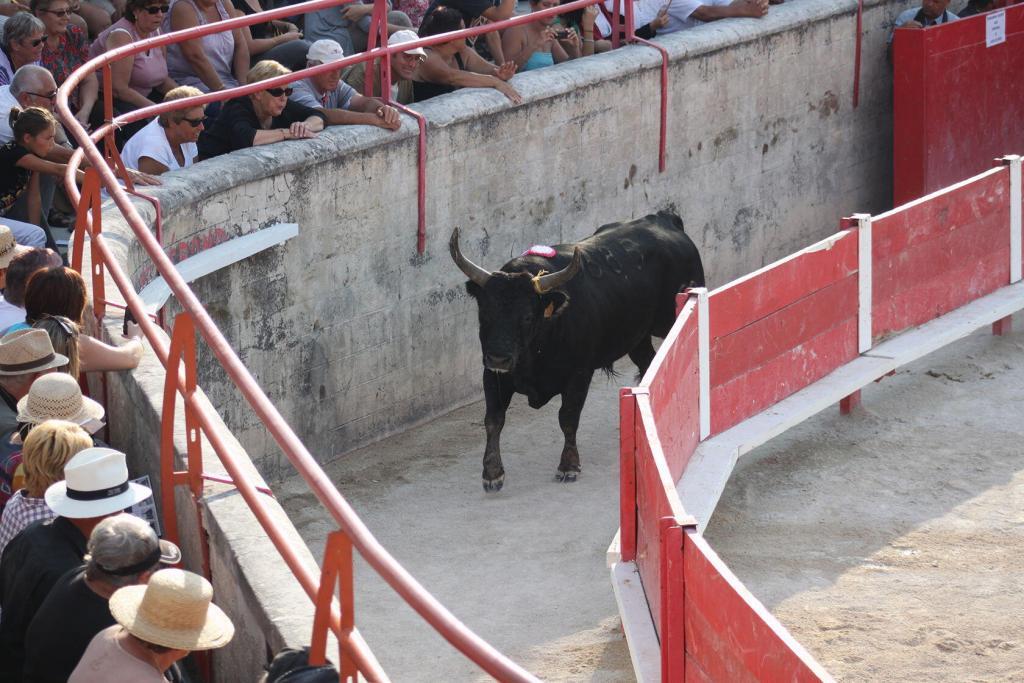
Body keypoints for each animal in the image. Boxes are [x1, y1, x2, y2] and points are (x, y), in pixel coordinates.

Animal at [452, 210, 708, 493]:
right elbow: (494, 419)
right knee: (648, 363)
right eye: (484, 313)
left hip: (668, 320)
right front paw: (492, 473)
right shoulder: (493, 374)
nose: (499, 357)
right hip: (637, 337)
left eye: (528, 316)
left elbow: (568, 417)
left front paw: (569, 465)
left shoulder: (579, 374)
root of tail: (664, 218)